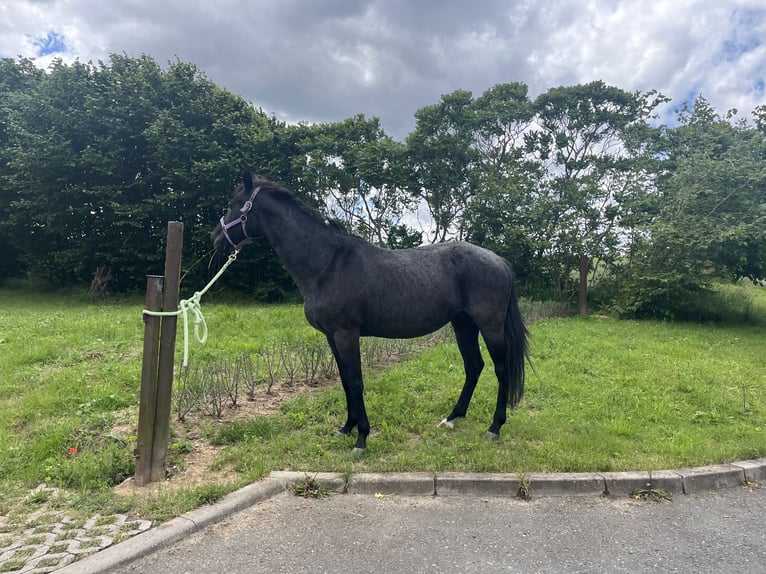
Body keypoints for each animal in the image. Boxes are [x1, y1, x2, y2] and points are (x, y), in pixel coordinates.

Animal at [213, 172, 532, 454]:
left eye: (234, 203)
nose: (215, 238)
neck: (327, 263)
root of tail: (500, 261)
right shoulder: (332, 337)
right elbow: (344, 381)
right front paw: (346, 428)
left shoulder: (346, 334)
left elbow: (356, 381)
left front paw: (361, 438)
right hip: (463, 324)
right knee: (473, 366)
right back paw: (452, 418)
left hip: (490, 326)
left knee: (500, 369)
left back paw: (494, 427)